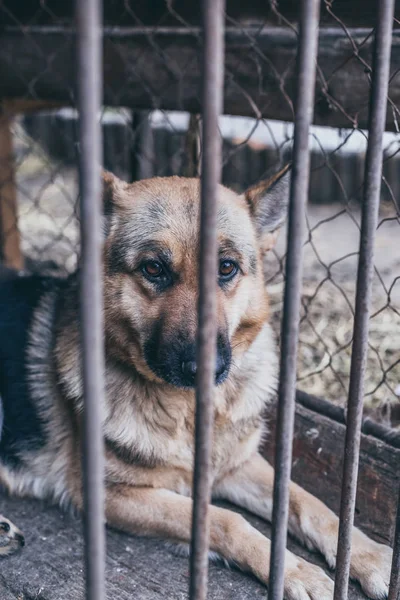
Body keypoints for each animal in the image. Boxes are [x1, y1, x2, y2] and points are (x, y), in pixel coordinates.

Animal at [0, 165, 394, 600]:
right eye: (153, 269)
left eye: (227, 268)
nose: (206, 367)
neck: (186, 409)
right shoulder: (112, 493)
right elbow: (225, 520)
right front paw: (295, 572)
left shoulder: (238, 464)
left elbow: (306, 501)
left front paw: (366, 554)